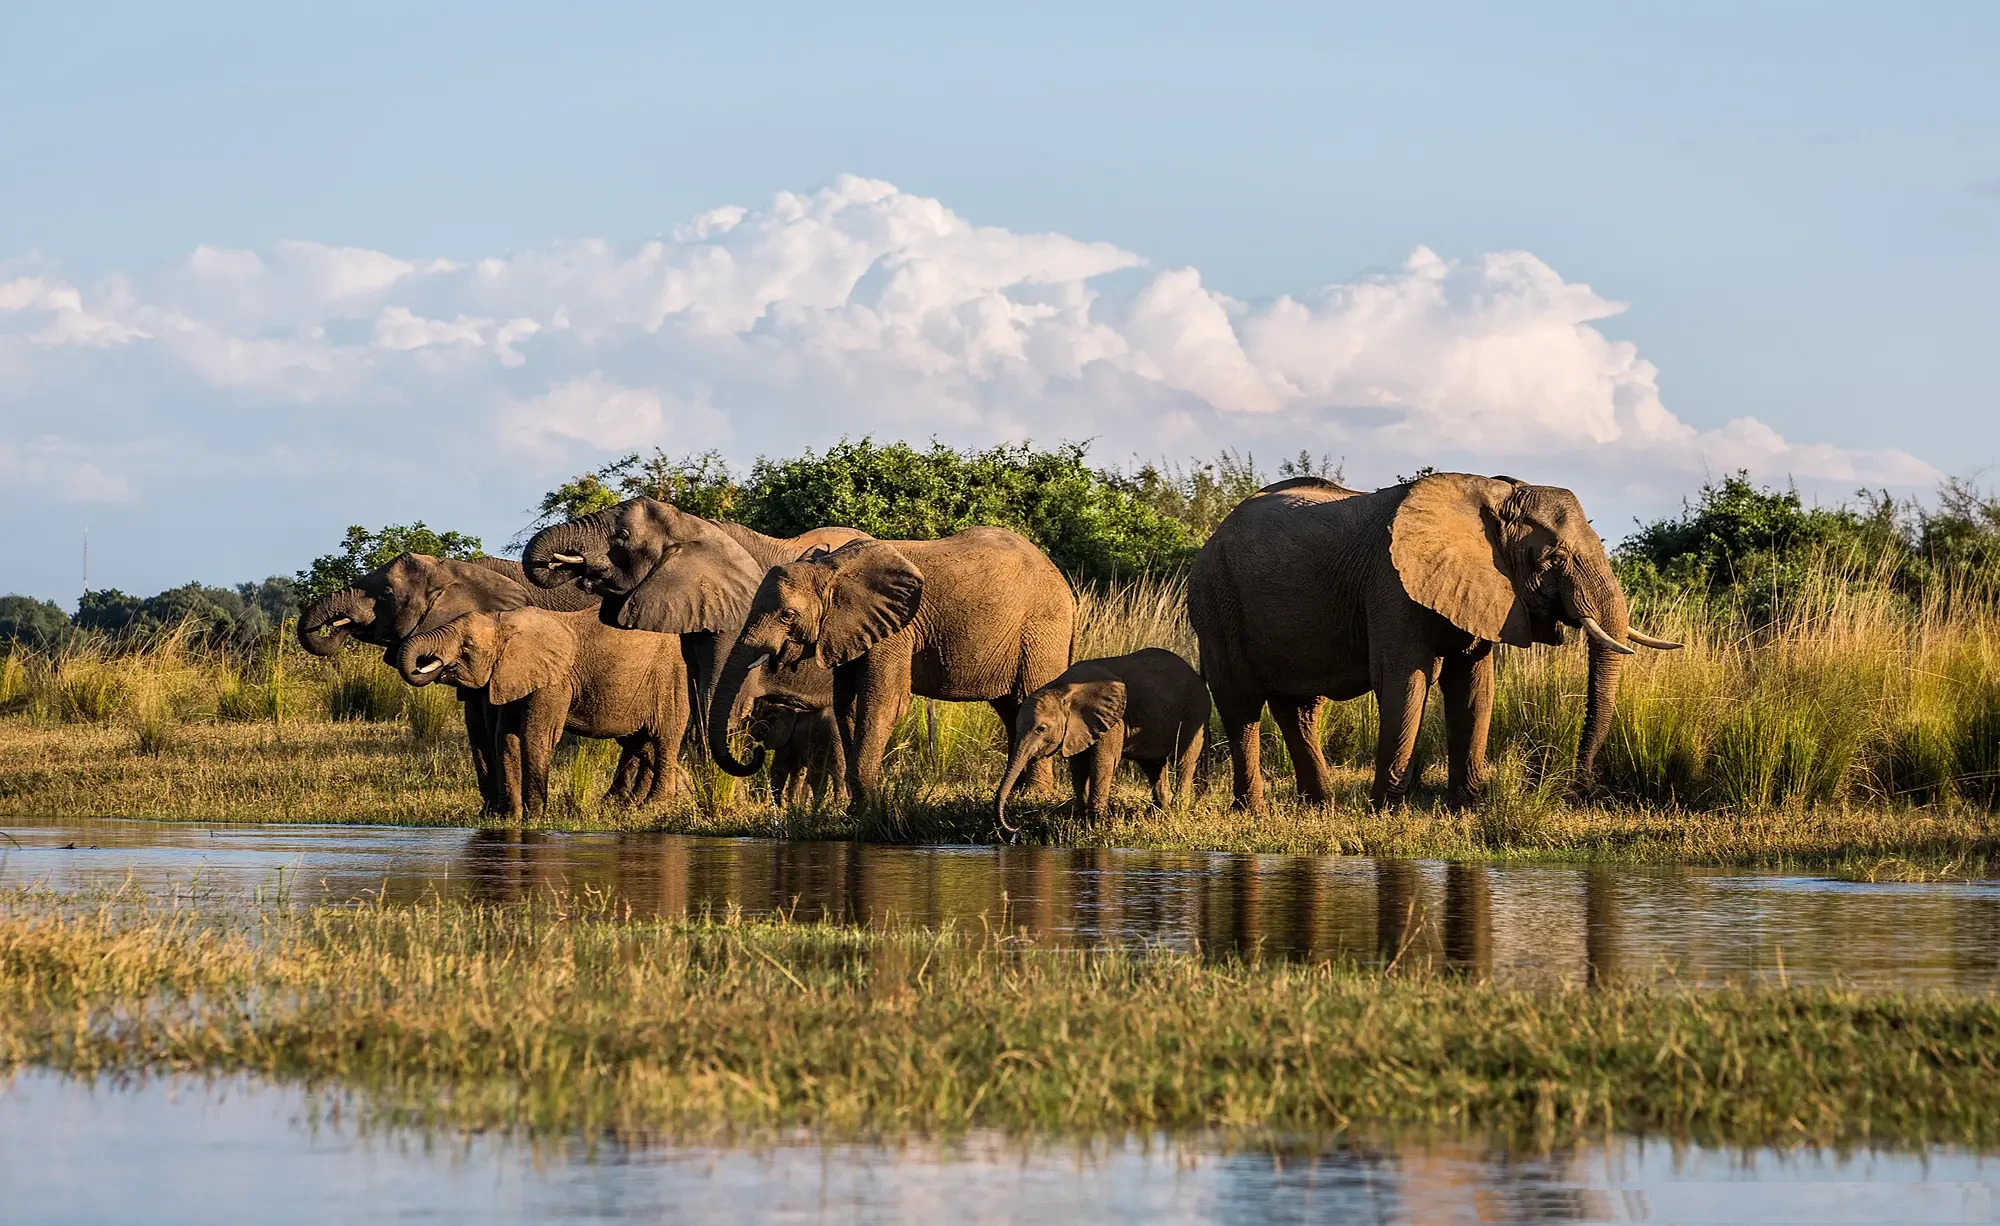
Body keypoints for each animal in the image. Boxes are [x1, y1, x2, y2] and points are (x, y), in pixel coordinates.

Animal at [296, 553, 600, 813]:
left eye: (386, 594)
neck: (452, 571)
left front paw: (498, 812)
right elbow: (476, 727)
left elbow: (492, 725)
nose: (338, 625)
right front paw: (488, 813)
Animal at [394, 607, 689, 818]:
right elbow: (506, 738)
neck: (505, 622)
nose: (429, 663)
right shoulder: (510, 675)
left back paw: (652, 806)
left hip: (671, 680)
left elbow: (536, 736)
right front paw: (508, 818)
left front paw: (534, 816)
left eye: (466, 646)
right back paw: (635, 804)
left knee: (664, 740)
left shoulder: (553, 681)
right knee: (641, 744)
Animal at [703, 529, 1077, 812]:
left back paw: (1034, 797)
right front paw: (858, 807)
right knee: (1011, 708)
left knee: (1030, 698)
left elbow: (882, 705)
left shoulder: (896, 630)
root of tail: (1061, 580)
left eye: (787, 615)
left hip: (1042, 629)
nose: (754, 751)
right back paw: (1018, 793)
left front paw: (866, 809)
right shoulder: (849, 631)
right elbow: (849, 706)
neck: (830, 569)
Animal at [993, 647, 1211, 834]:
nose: (1015, 828)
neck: (1062, 689)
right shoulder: (1078, 728)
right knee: (1153, 764)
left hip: (1195, 711)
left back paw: (1178, 810)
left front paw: (1095, 825)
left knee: (1184, 761)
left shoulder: (1114, 720)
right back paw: (1159, 815)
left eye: (1041, 729)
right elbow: (1078, 765)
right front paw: (1081, 821)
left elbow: (1102, 762)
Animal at [1188, 473, 1681, 813]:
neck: (1493, 494)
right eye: (1554, 558)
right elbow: (1405, 681)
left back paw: (1318, 806)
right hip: (1216, 601)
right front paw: (1386, 812)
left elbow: (1473, 688)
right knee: (1240, 704)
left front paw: (1467, 809)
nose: (1579, 791)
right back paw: (1252, 810)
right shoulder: (1391, 585)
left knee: (1299, 708)